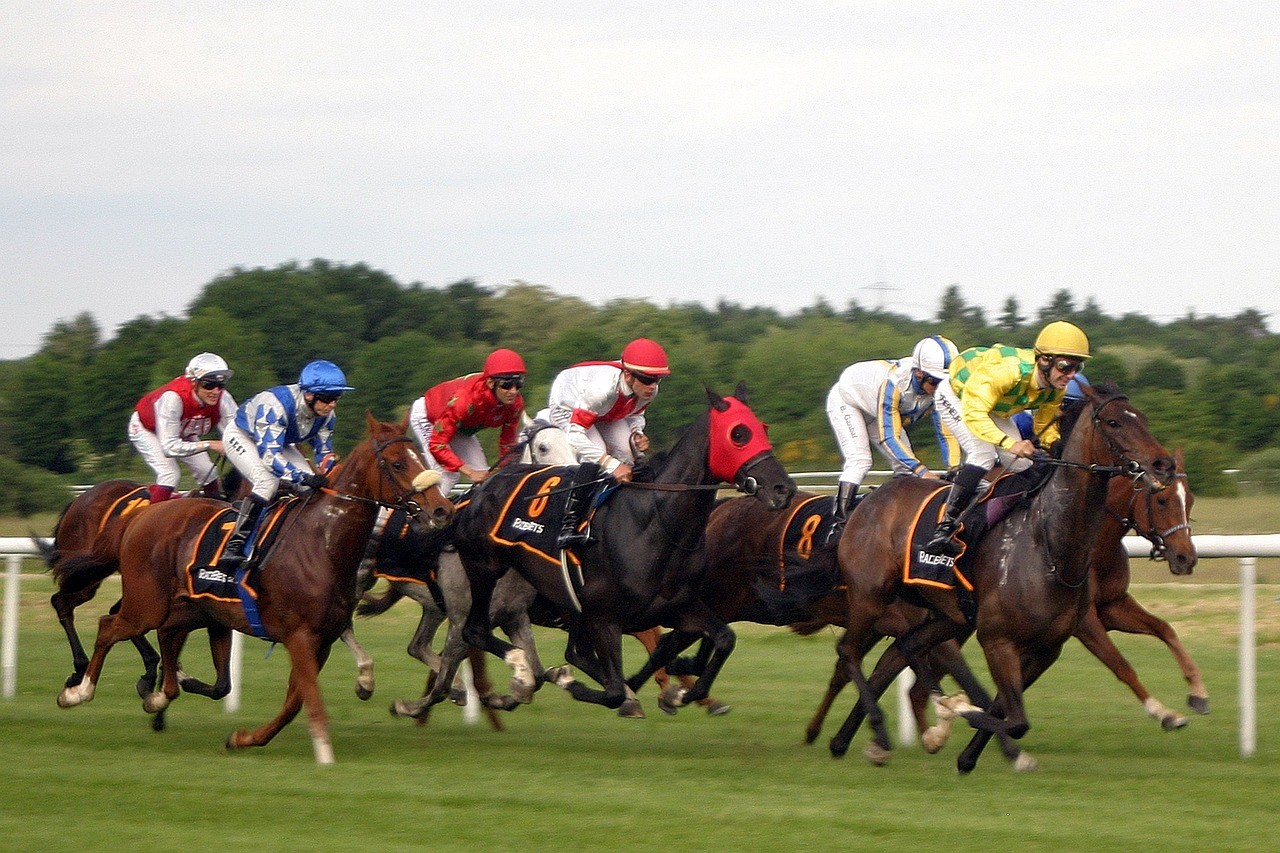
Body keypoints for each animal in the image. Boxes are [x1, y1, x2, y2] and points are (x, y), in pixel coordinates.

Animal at [55, 409, 455, 758]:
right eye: (398, 463)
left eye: (421, 455)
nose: (441, 509)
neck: (321, 542)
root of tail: (142, 515)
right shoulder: (300, 636)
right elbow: (308, 698)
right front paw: (325, 752)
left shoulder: (320, 639)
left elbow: (294, 701)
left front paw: (244, 738)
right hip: (147, 605)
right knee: (107, 625)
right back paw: (78, 690)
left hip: (189, 611)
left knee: (164, 642)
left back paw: (157, 694)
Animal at [834, 381, 1172, 768]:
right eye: (1114, 422)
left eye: (1142, 418)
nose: (1163, 464)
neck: (1049, 546)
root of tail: (867, 500)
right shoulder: (997, 640)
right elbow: (1012, 717)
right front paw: (956, 713)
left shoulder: (1047, 648)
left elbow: (1008, 713)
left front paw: (968, 750)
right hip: (869, 596)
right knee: (849, 651)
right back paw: (878, 729)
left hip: (945, 614)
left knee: (905, 647)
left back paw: (858, 738)